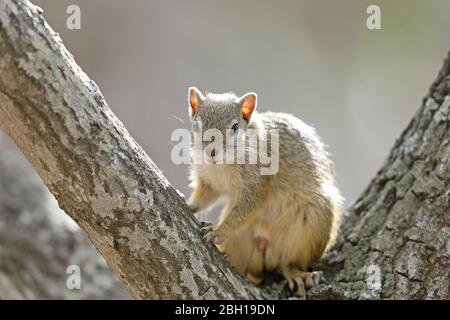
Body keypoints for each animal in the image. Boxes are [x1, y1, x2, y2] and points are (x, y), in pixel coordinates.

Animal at [185, 85, 342, 296]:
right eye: (196, 125)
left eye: (235, 127)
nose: (211, 152)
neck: (221, 166)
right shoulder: (209, 181)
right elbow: (206, 198)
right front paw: (190, 205)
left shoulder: (257, 182)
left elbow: (244, 209)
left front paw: (218, 232)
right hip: (242, 242)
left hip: (315, 222)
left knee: (289, 263)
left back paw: (297, 273)